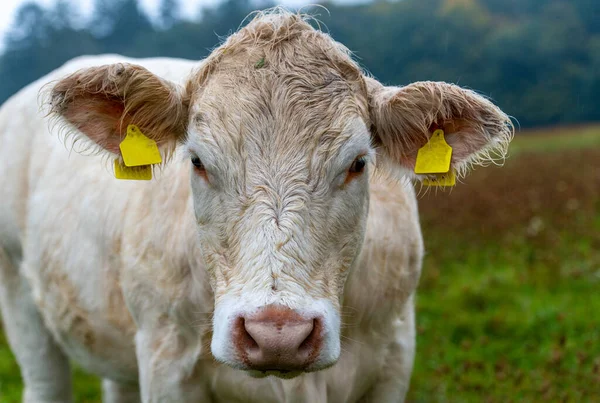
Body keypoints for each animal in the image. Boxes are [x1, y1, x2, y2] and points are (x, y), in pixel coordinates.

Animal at [0, 9, 512, 403]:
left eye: (358, 162)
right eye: (198, 161)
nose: (276, 334)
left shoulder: (394, 357)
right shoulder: (166, 362)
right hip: (21, 302)